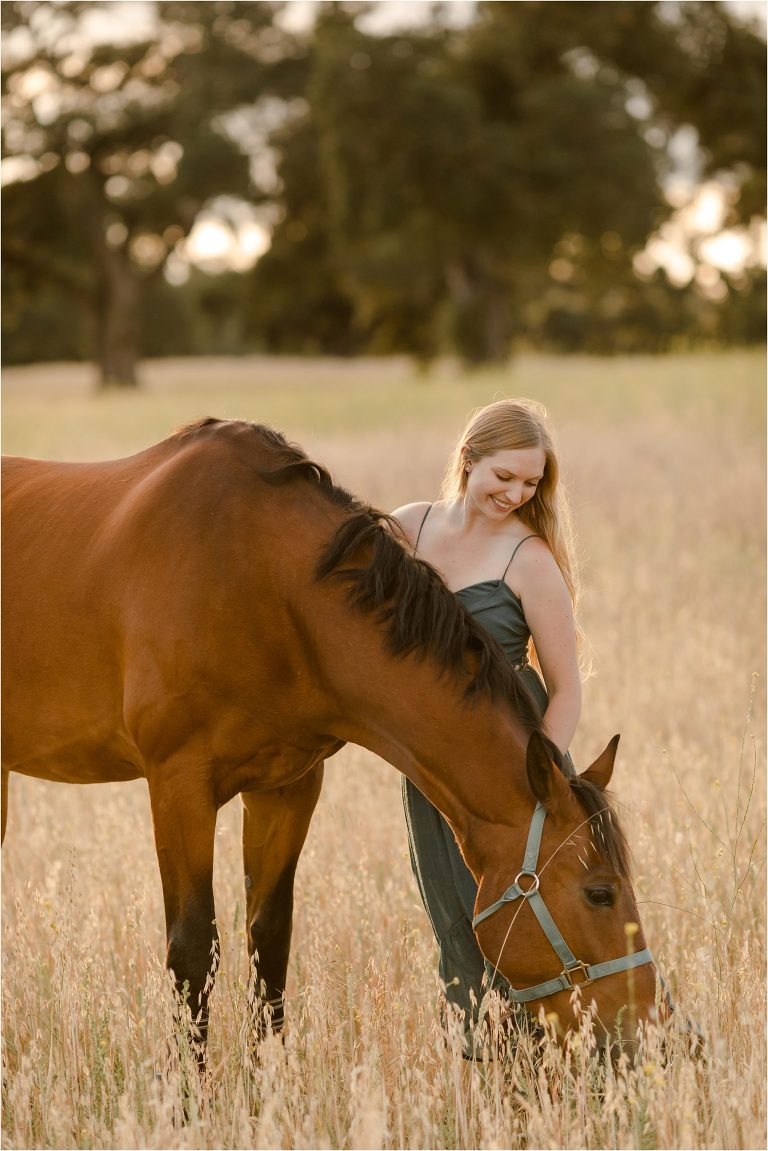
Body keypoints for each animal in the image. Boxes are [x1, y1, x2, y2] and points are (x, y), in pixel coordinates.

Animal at [2, 417, 657, 1053]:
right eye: (600, 892)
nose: (647, 1026)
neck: (260, 582)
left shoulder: (288, 788)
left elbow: (269, 942)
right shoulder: (177, 785)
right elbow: (190, 951)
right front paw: (188, 1090)